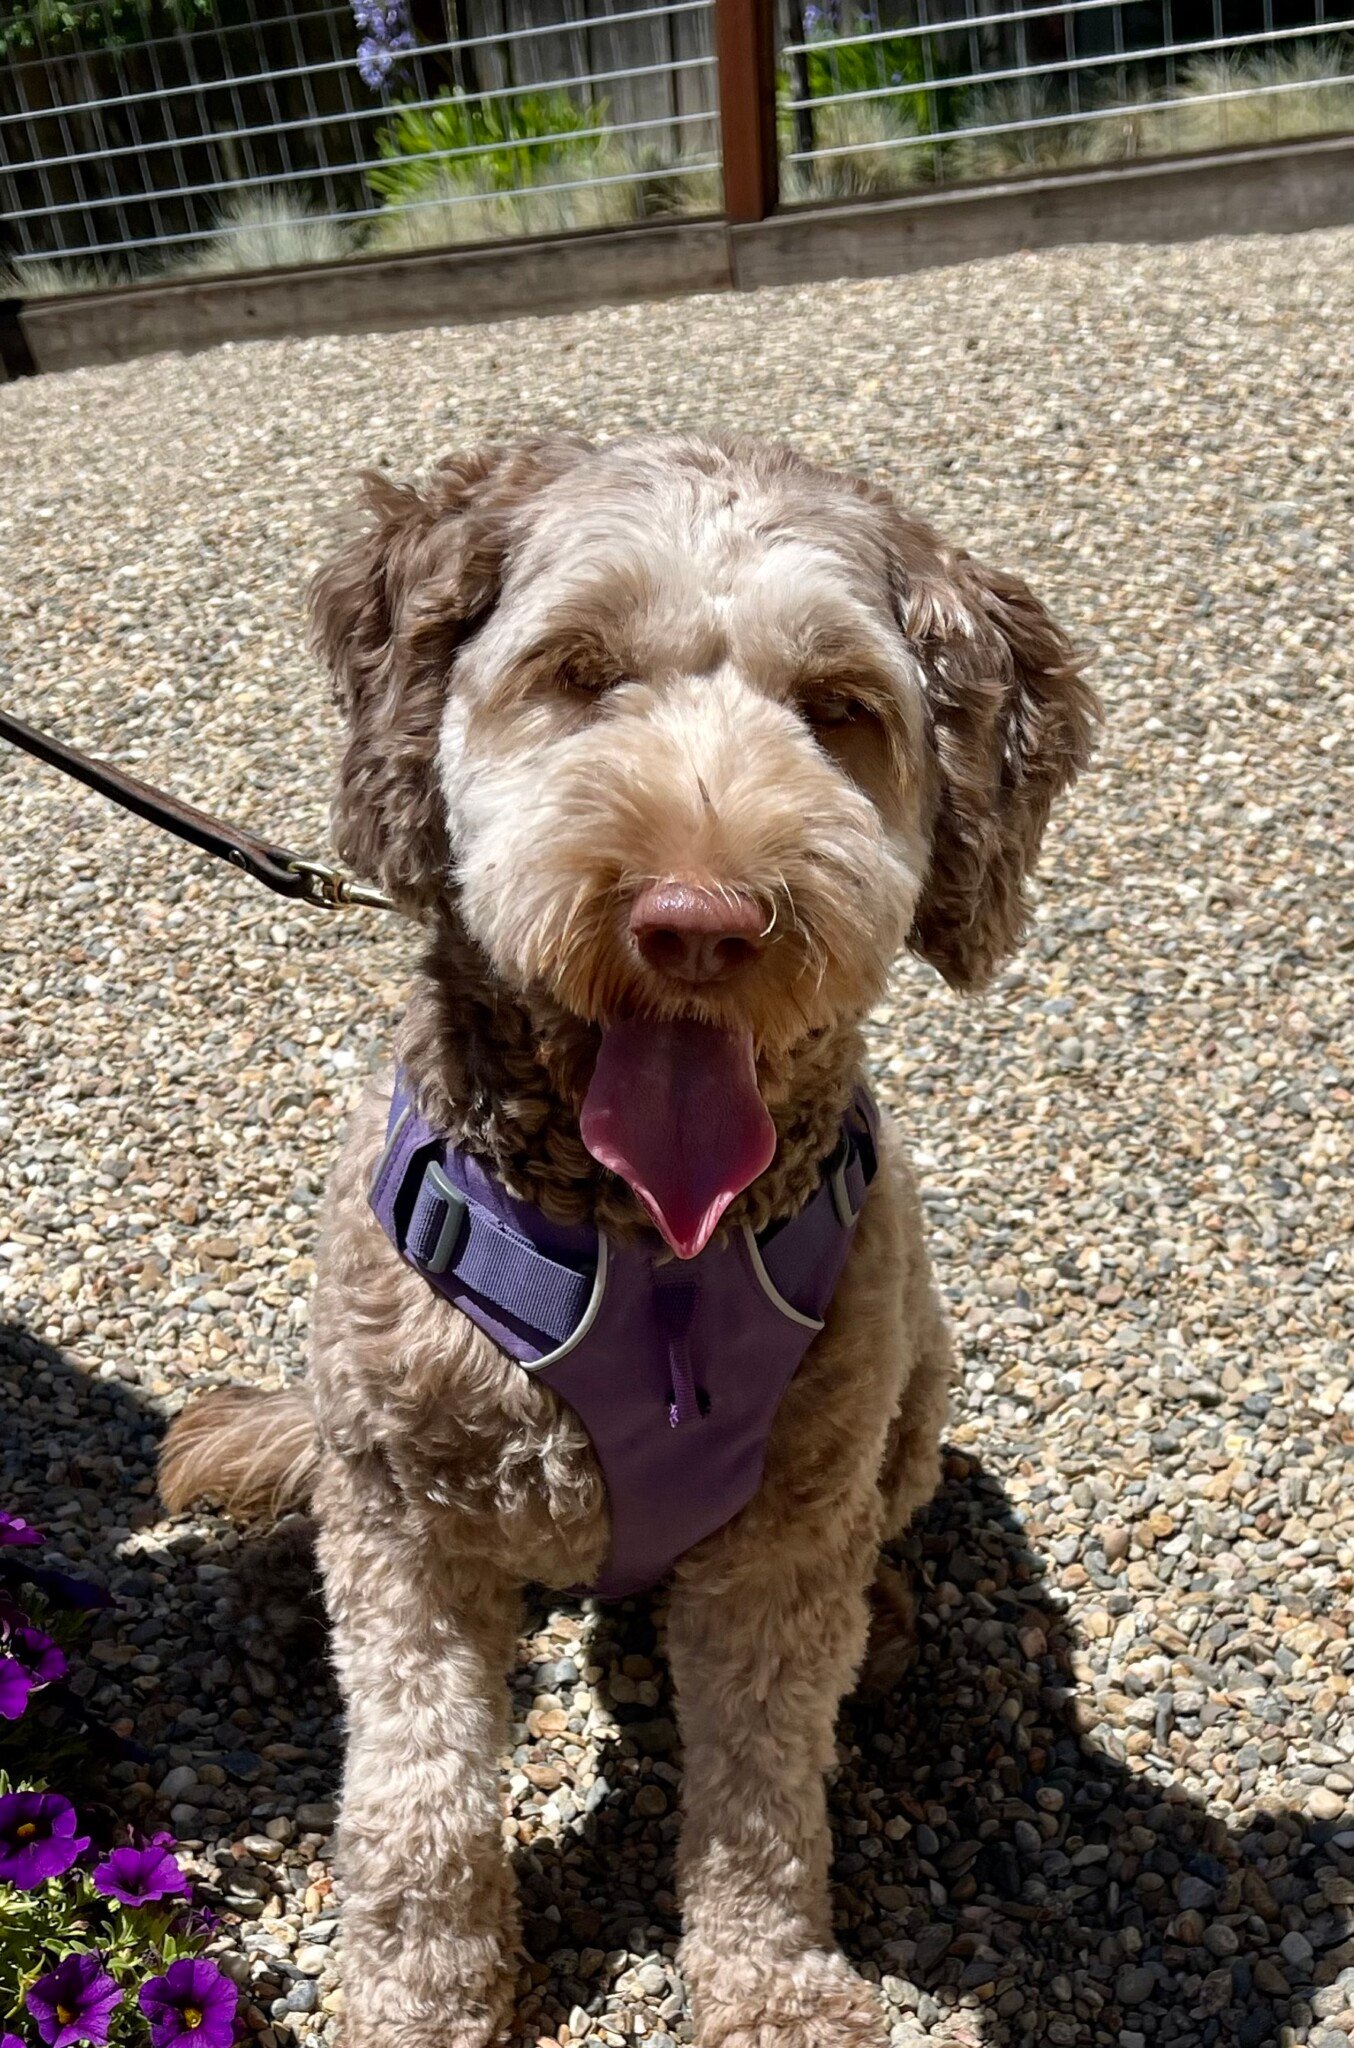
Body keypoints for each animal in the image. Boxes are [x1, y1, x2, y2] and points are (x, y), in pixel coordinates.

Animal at [165, 432, 1097, 2048]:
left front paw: (775, 1993)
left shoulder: (780, 1538)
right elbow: (417, 1797)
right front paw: (421, 1995)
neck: (646, 1251)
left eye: (840, 709)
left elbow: (765, 1797)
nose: (700, 923)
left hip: (917, 1390)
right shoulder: (402, 1529)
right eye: (578, 669)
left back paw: (888, 1606)